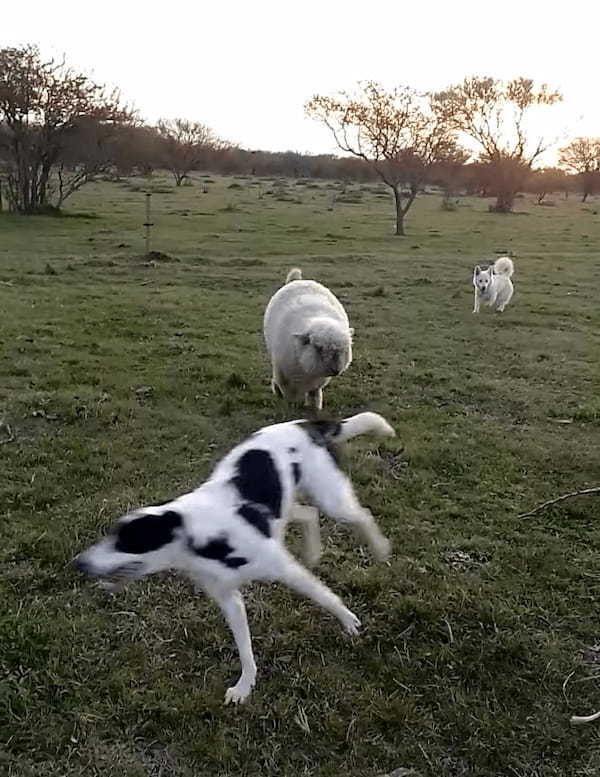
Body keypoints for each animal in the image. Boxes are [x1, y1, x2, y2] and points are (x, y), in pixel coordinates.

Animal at [74, 412, 394, 704]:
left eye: (126, 540)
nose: (79, 562)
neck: (197, 535)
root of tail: (304, 423)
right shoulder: (229, 599)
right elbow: (245, 648)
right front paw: (245, 686)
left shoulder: (287, 570)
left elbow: (326, 596)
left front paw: (349, 622)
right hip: (286, 505)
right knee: (308, 514)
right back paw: (314, 550)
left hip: (333, 499)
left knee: (361, 515)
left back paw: (379, 548)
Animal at [262, 266, 352, 410]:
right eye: (318, 348)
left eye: (343, 349)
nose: (335, 370)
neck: (307, 368)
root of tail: (298, 280)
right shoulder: (283, 376)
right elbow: (288, 394)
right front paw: (289, 404)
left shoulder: (317, 383)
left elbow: (313, 394)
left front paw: (314, 408)